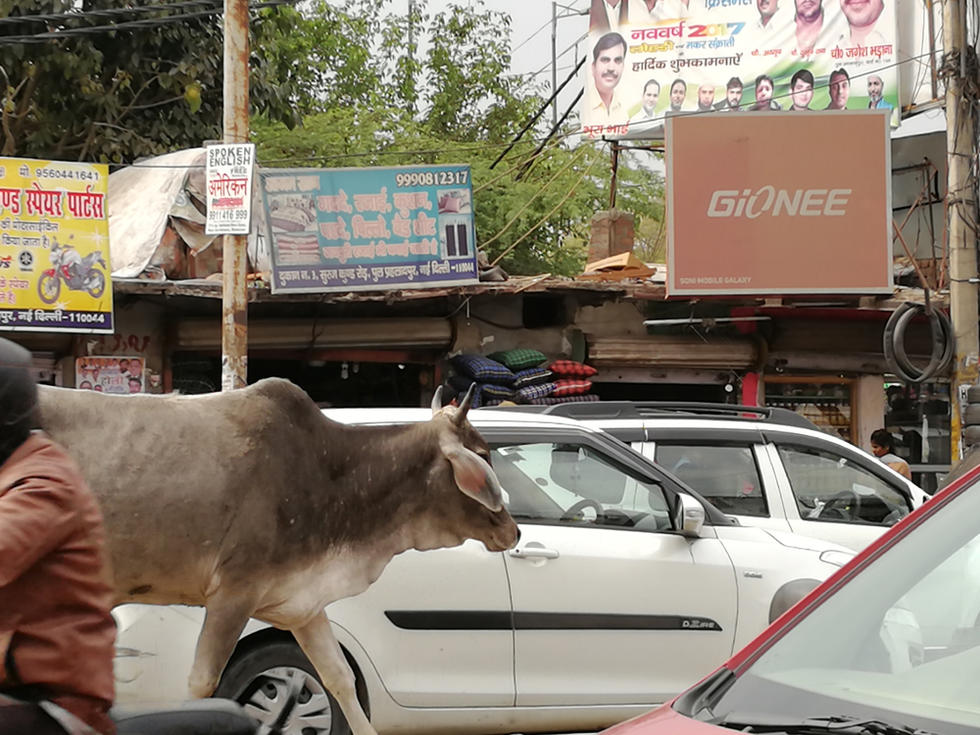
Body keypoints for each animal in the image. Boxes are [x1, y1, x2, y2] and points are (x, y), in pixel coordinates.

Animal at [36, 376, 520, 735]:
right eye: (481, 454)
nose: (513, 531)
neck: (330, 477)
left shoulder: (302, 603)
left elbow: (340, 678)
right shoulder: (233, 594)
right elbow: (202, 684)